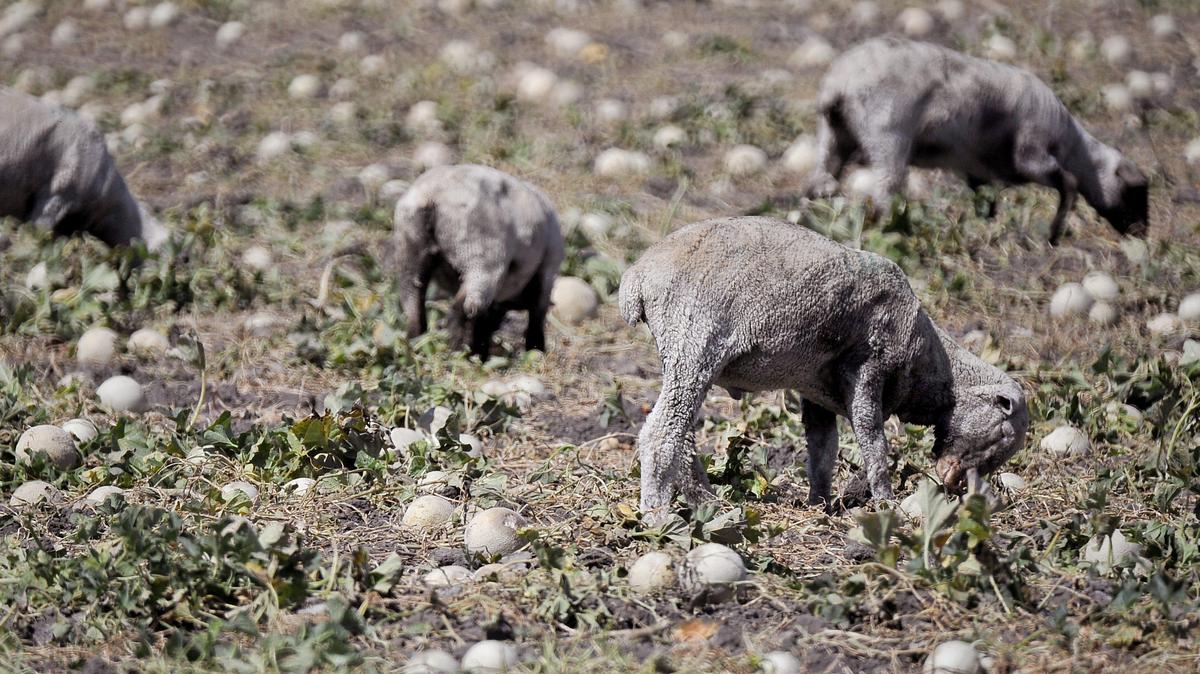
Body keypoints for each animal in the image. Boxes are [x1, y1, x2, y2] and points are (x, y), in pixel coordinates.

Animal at [393, 164, 564, 359]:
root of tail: (432, 195)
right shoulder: (546, 273)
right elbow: (536, 319)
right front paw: (536, 352)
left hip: (410, 249)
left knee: (413, 303)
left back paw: (415, 347)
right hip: (482, 261)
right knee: (467, 308)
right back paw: (460, 354)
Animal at [620, 216, 1028, 518]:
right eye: (1003, 435)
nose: (953, 484)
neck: (932, 360)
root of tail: (638, 277)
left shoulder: (816, 391)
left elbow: (823, 451)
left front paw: (821, 504)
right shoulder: (869, 368)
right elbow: (874, 443)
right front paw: (886, 501)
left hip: (684, 355)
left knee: (683, 436)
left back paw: (707, 505)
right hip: (695, 344)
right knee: (660, 433)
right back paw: (657, 515)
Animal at [806, 37, 1149, 244]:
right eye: (1136, 193)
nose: (1142, 234)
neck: (1070, 144)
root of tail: (841, 81)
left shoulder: (978, 172)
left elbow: (987, 205)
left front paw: (987, 230)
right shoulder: (1031, 154)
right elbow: (1069, 183)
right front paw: (1053, 236)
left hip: (835, 134)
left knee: (820, 180)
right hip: (888, 136)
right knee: (883, 192)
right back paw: (888, 229)